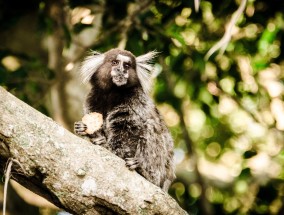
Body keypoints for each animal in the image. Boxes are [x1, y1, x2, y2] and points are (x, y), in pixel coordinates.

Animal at [74, 47, 174, 191]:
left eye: (126, 65)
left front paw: (105, 145)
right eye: (115, 62)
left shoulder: (135, 103)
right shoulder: (92, 100)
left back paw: (143, 171)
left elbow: (126, 137)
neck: (112, 93)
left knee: (150, 125)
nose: (121, 70)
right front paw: (83, 129)